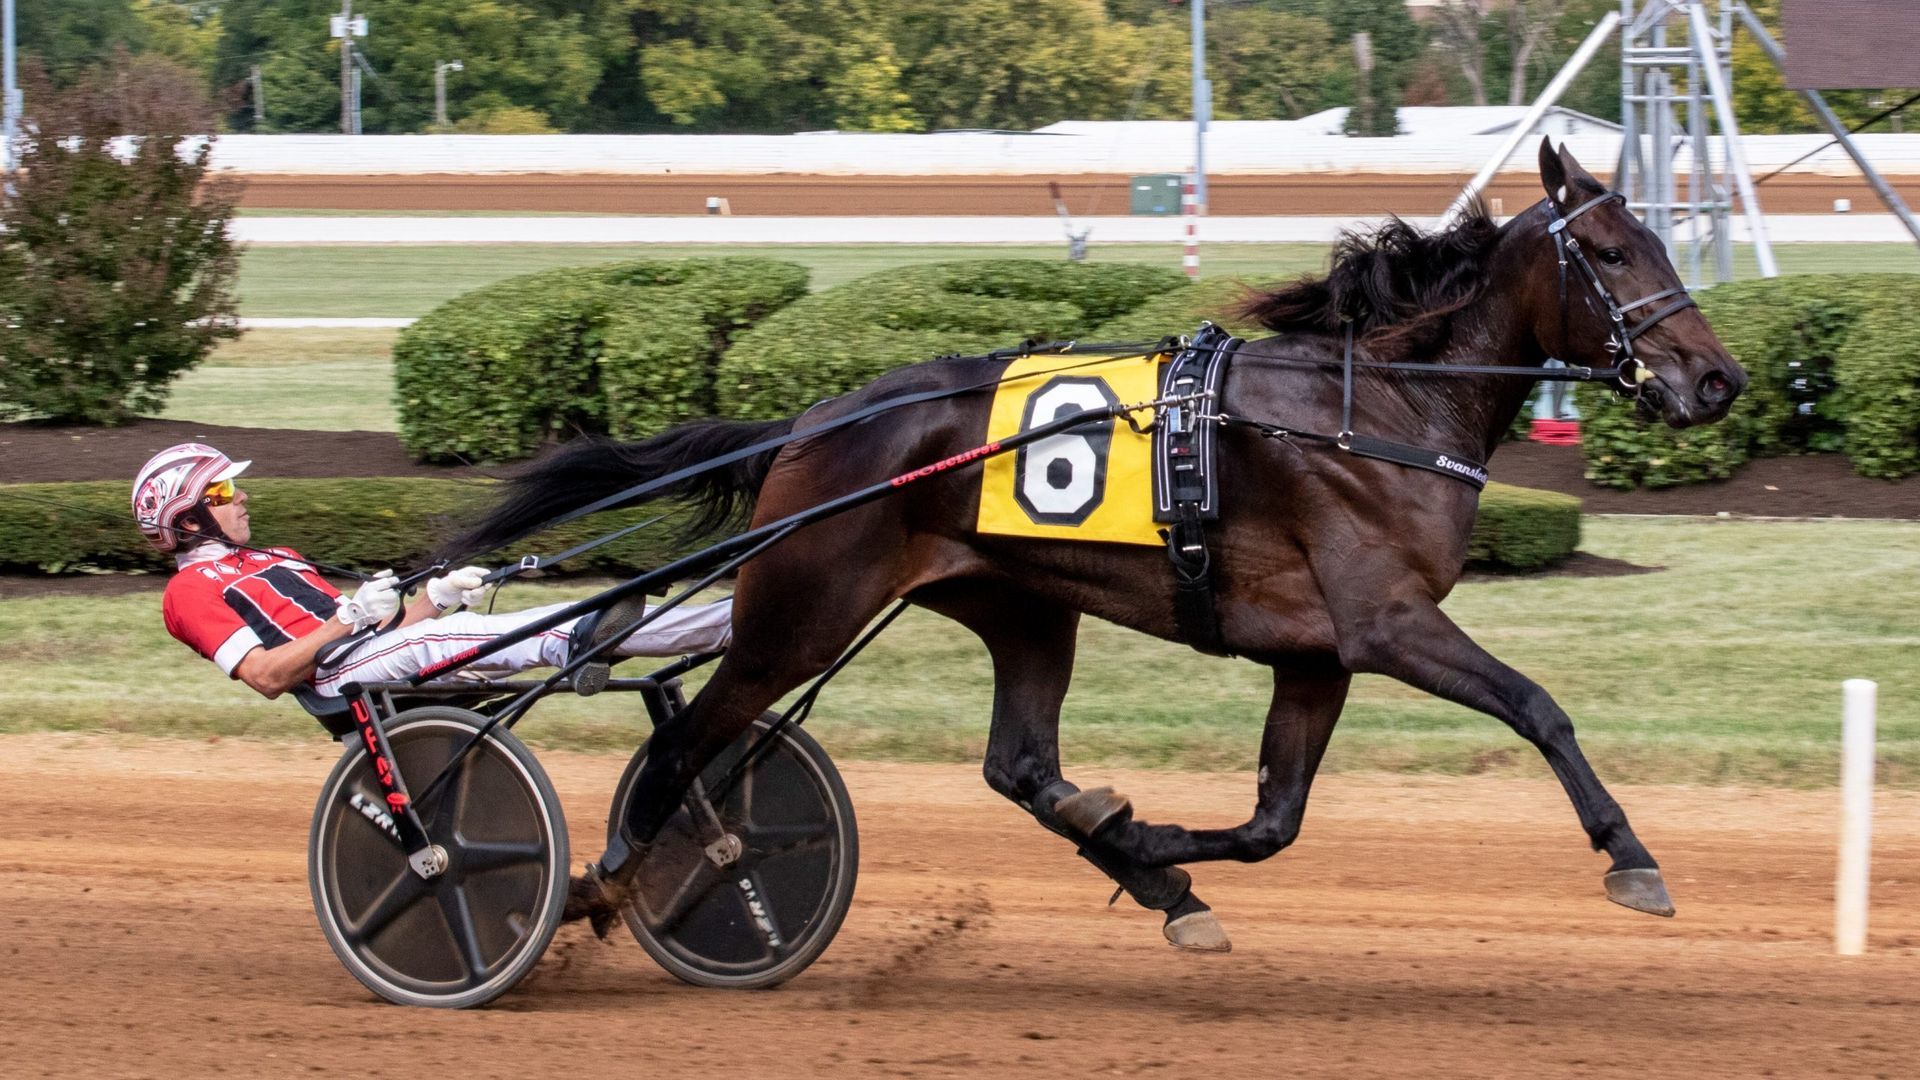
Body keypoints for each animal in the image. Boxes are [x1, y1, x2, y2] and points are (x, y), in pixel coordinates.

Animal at [456, 143, 1751, 949]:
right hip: (799, 611)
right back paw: (596, 890)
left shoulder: (1315, 655)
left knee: (1020, 767)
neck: (1373, 407)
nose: (1717, 380)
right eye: (1618, 254)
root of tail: (816, 422)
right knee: (686, 754)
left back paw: (1147, 873)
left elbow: (1273, 822)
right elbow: (1538, 707)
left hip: (1023, 605)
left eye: (1665, 241)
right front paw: (1631, 856)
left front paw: (1146, 839)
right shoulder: (1385, 624)